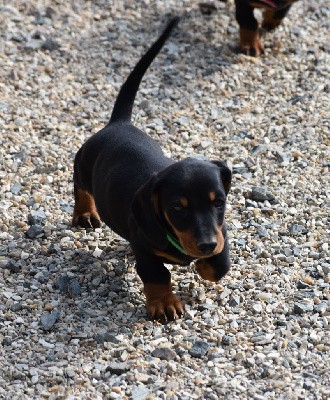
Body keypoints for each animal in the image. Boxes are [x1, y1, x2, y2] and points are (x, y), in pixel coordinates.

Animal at [72, 18, 232, 322]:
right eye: (177, 208)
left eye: (219, 202)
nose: (206, 245)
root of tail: (119, 123)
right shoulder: (144, 246)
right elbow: (157, 274)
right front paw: (164, 304)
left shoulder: (220, 232)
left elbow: (220, 265)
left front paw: (205, 265)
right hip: (83, 163)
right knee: (80, 187)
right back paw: (85, 213)